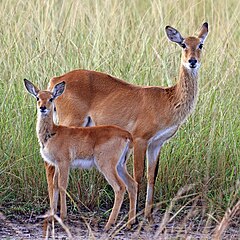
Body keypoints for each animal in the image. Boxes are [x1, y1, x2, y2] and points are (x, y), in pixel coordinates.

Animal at [24, 79, 138, 231]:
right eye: (38, 97)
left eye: (51, 98)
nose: (43, 108)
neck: (53, 133)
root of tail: (127, 135)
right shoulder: (57, 165)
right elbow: (54, 185)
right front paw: (52, 216)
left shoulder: (64, 163)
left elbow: (62, 185)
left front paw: (63, 216)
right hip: (120, 165)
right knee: (132, 184)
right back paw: (129, 223)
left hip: (106, 165)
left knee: (120, 188)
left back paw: (108, 224)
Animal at [48, 22, 208, 219]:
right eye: (183, 44)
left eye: (200, 45)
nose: (192, 61)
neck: (168, 99)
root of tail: (56, 80)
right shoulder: (140, 140)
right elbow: (138, 176)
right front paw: (135, 216)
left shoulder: (156, 144)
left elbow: (152, 175)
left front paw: (148, 215)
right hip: (70, 123)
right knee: (51, 168)